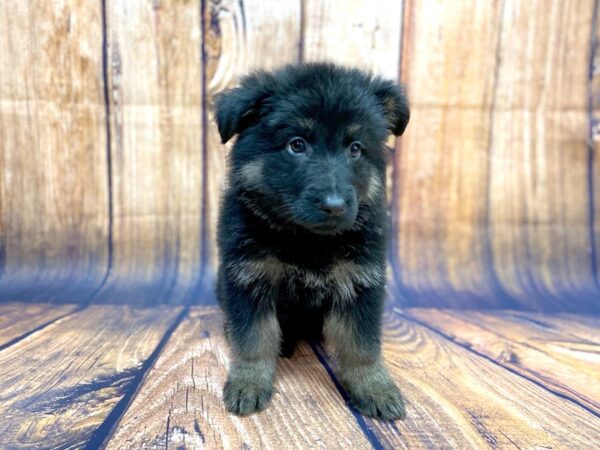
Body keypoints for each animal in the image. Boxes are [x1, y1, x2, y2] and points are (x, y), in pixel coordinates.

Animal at [214, 61, 408, 420]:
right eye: (297, 144)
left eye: (355, 148)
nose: (335, 206)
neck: (308, 240)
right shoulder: (249, 280)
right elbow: (254, 340)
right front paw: (249, 382)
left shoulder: (360, 284)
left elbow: (361, 346)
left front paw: (375, 387)